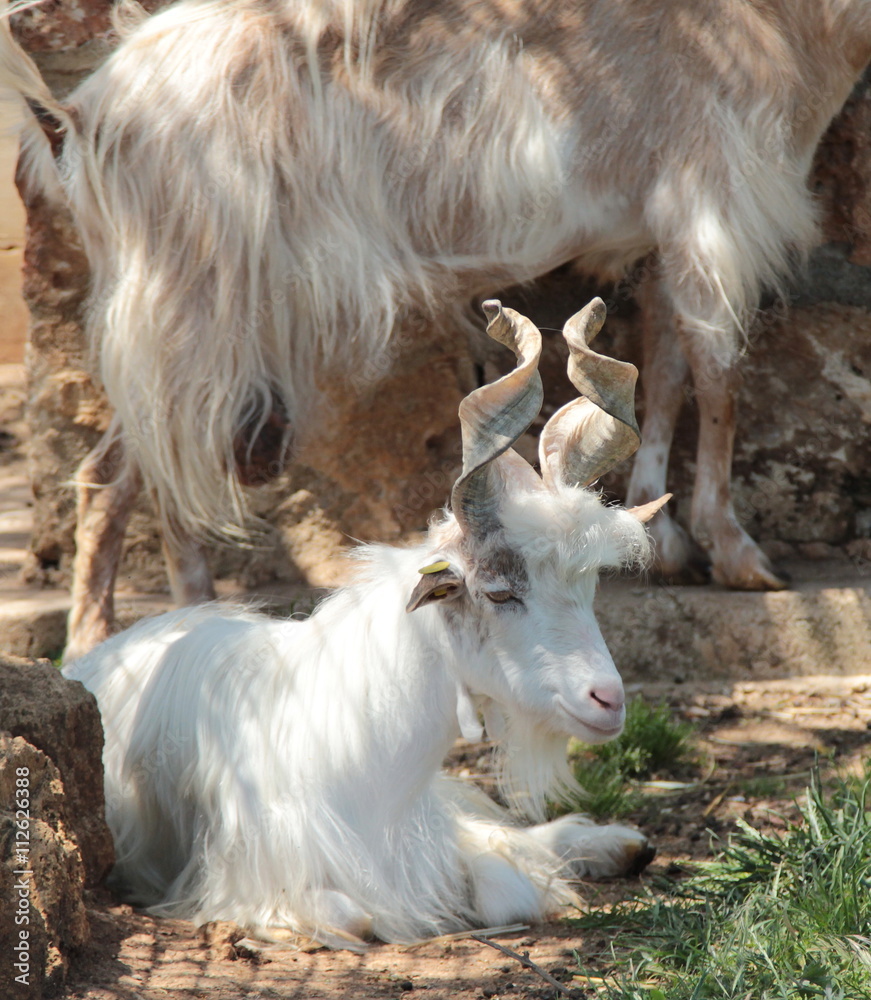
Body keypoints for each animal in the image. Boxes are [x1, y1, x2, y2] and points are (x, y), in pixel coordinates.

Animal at [3, 0, 870, 659]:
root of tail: (78, 121)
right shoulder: (712, 209)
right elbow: (721, 381)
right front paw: (739, 557)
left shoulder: (664, 235)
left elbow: (663, 376)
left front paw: (660, 540)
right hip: (189, 302)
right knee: (140, 467)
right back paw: (120, 637)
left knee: (132, 463)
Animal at [63, 300, 666, 947]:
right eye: (499, 592)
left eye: (590, 586)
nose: (608, 700)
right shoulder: (260, 878)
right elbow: (360, 915)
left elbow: (505, 883)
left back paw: (620, 842)